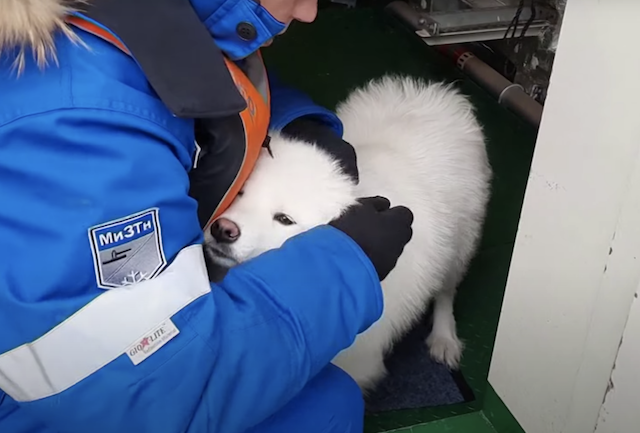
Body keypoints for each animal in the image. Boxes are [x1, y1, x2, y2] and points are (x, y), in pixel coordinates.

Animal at [205, 76, 490, 394]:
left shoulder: (356, 364)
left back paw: (444, 337)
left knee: (445, 292)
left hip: (460, 245)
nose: (223, 229)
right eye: (240, 193)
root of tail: (435, 92)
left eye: (284, 219)